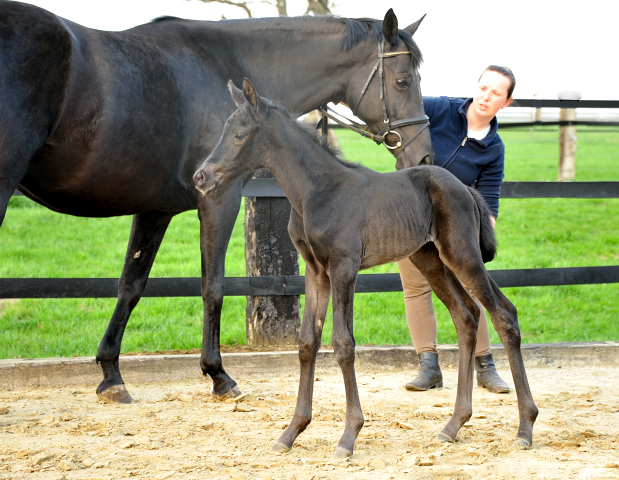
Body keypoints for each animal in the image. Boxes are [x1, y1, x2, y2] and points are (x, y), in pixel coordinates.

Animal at [0, 1, 434, 404]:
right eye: (402, 80)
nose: (423, 155)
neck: (222, 58)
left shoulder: (155, 210)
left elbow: (131, 285)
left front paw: (111, 374)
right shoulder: (219, 200)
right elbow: (213, 286)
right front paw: (218, 374)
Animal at [193, 80, 536, 460]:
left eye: (239, 135)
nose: (201, 177)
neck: (316, 192)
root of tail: (465, 188)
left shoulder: (345, 267)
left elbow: (343, 343)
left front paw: (348, 436)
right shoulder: (316, 271)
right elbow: (307, 342)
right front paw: (291, 432)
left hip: (462, 255)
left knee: (503, 314)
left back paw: (525, 428)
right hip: (431, 260)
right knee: (467, 316)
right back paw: (453, 426)